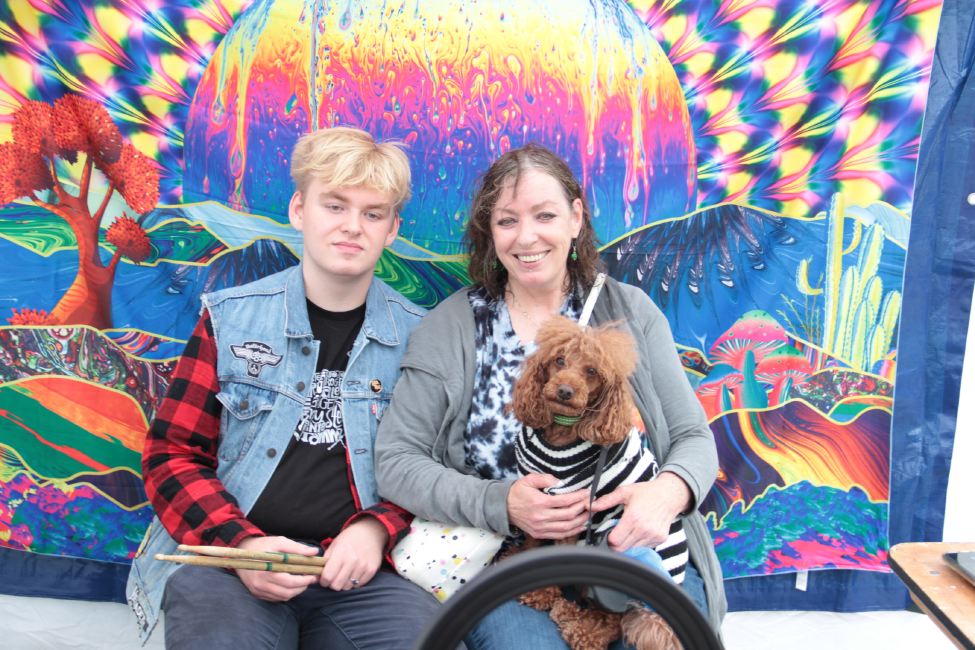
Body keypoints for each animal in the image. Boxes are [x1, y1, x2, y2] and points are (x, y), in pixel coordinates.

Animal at [509, 315, 683, 650]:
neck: (560, 433)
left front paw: (539, 591)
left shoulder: (569, 511)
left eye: (592, 371)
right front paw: (519, 560)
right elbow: (533, 537)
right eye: (559, 360)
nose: (565, 390)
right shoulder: (538, 497)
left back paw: (582, 628)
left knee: (615, 618)